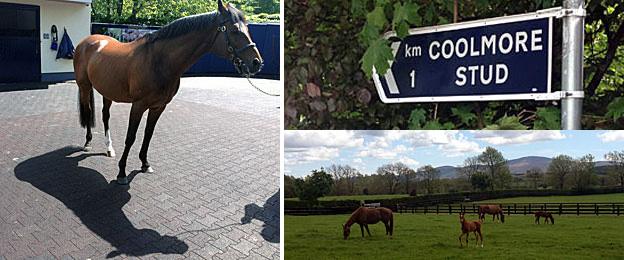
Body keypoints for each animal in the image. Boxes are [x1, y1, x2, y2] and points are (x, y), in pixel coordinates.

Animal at [73, 0, 264, 185]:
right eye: (234, 30)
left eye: (247, 29)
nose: (256, 62)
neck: (159, 60)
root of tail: (88, 41)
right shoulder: (138, 106)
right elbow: (131, 137)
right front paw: (121, 173)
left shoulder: (159, 107)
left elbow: (148, 134)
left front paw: (145, 164)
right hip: (84, 86)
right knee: (88, 112)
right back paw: (88, 143)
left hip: (108, 92)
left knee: (105, 116)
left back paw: (109, 148)